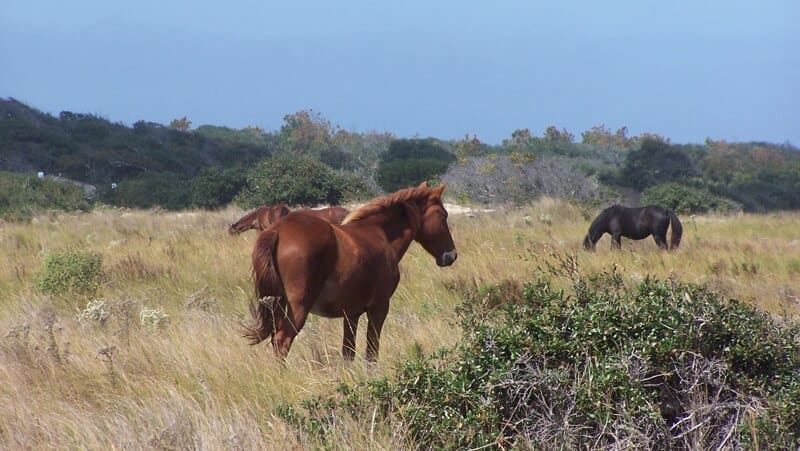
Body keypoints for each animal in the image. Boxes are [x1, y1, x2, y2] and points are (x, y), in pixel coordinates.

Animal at [243, 182, 457, 361]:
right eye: (443, 215)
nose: (451, 255)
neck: (379, 234)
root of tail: (277, 231)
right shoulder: (379, 308)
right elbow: (371, 351)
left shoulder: (351, 314)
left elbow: (348, 352)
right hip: (298, 308)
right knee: (282, 341)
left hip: (277, 306)